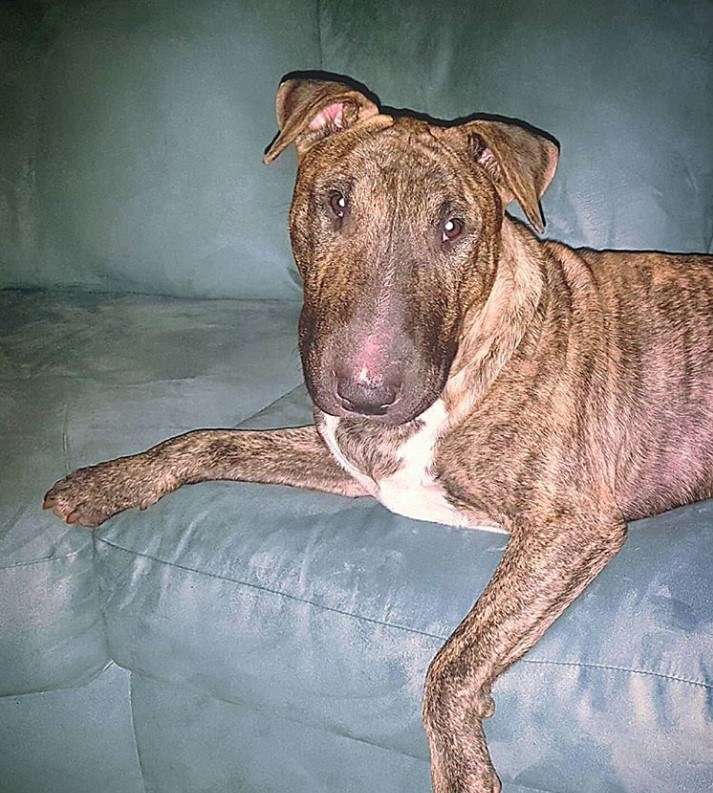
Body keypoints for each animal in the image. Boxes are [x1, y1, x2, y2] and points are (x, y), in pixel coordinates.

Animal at [44, 76, 712, 792]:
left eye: (454, 227)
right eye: (336, 202)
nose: (365, 393)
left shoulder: (571, 525)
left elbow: (451, 662)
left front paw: (462, 770)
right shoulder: (349, 459)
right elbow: (200, 440)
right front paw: (104, 483)